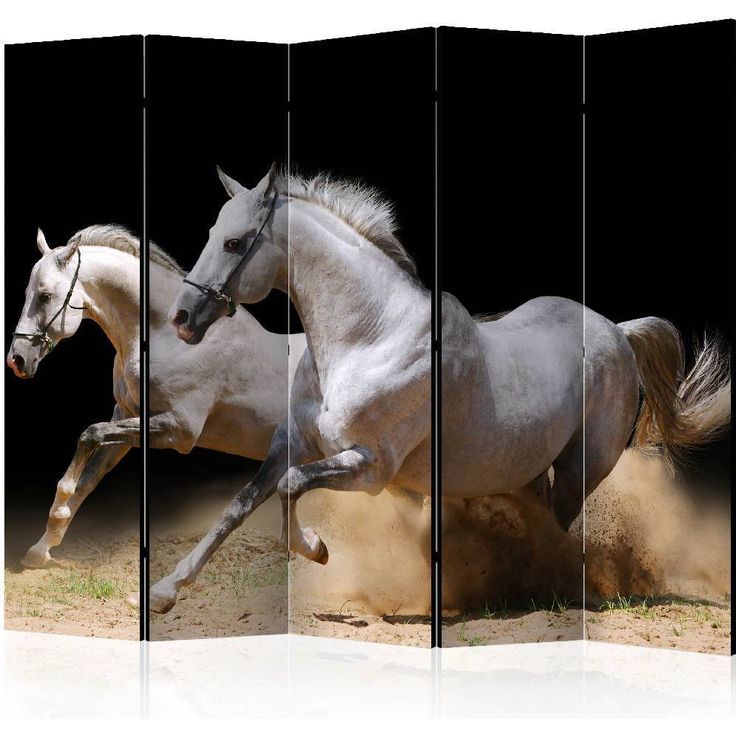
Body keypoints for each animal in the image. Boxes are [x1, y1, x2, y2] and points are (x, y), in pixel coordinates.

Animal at [7, 225, 306, 608]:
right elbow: (90, 475)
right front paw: (41, 549)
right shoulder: (127, 416)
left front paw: (55, 518)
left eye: (45, 296)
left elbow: (89, 435)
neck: (165, 335)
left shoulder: (178, 431)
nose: (16, 360)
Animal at [152, 164, 730, 614]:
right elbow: (241, 503)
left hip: (579, 469)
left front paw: (316, 547)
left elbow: (292, 486)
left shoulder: (370, 467)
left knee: (560, 531)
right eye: (211, 232)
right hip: (528, 470)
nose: (182, 319)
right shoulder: (289, 443)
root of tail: (618, 331)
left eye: (234, 242)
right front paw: (164, 590)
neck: (369, 338)